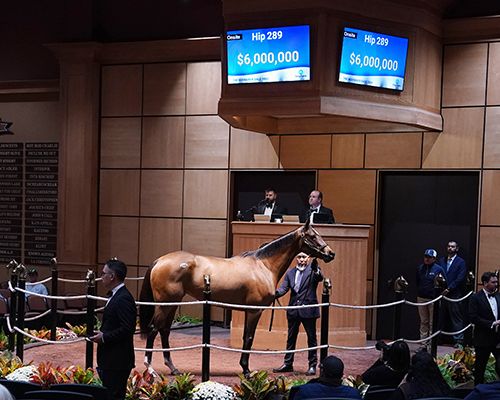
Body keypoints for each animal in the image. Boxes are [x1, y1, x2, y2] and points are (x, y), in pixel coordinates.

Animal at [140, 220, 336, 376]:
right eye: (312, 236)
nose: (330, 253)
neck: (263, 265)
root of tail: (159, 261)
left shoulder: (249, 311)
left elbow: (245, 338)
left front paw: (245, 368)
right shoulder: (254, 311)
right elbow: (249, 338)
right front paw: (247, 370)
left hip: (172, 304)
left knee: (164, 330)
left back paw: (173, 368)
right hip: (164, 304)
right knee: (153, 329)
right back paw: (150, 368)